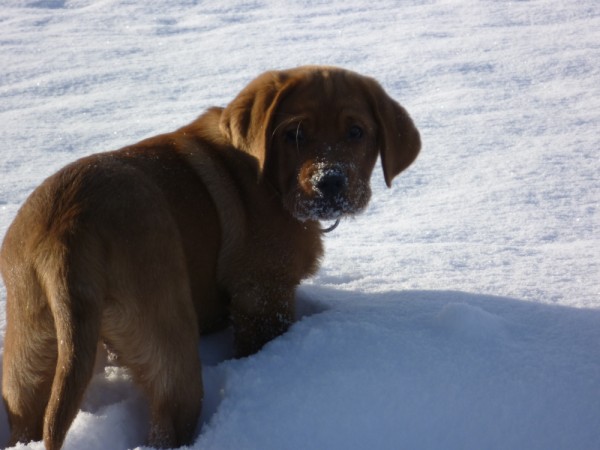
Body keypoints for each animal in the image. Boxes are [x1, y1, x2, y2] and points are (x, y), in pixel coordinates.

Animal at [0, 66, 420, 449]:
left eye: (356, 132)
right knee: (167, 424)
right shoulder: (264, 294)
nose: (329, 182)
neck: (268, 178)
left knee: (25, 416)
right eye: (294, 134)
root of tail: (69, 227)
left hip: (30, 349)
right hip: (171, 344)